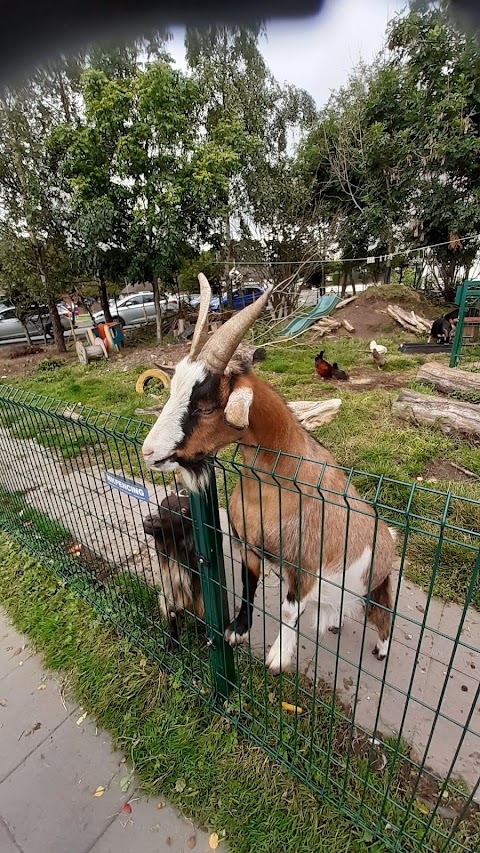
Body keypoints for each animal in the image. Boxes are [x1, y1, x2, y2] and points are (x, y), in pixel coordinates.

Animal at [142, 490, 203, 648]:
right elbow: (172, 614)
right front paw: (172, 641)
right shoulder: (170, 589)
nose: (149, 520)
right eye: (161, 504)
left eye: (184, 511)